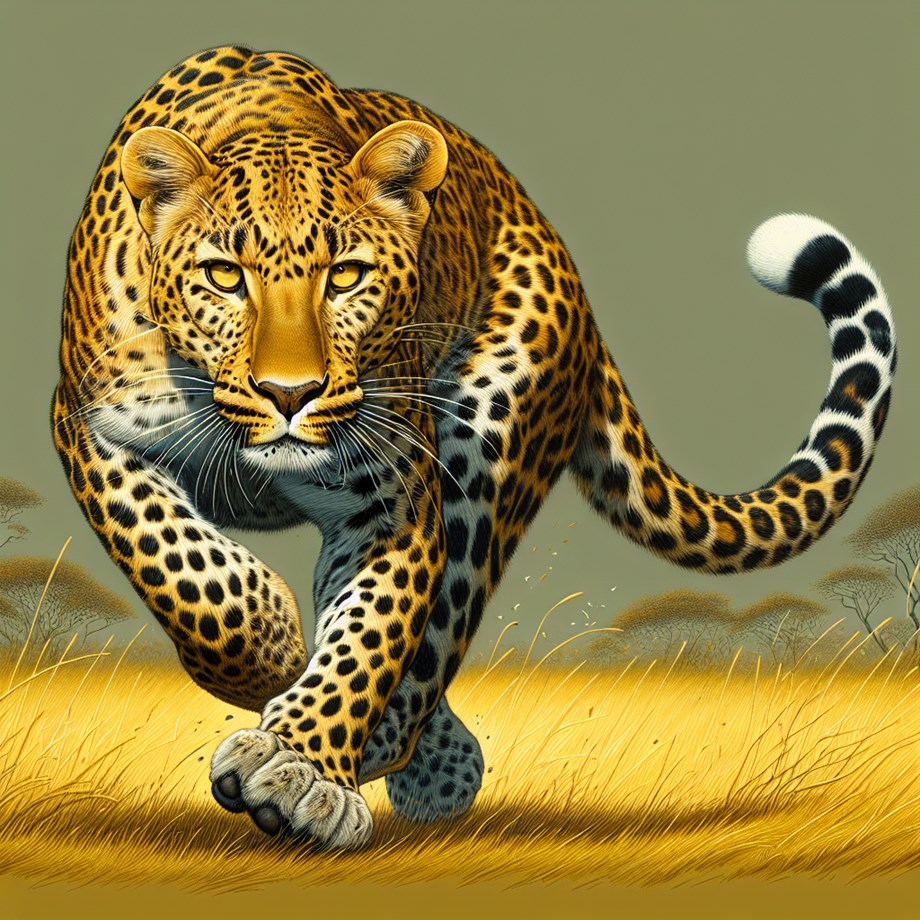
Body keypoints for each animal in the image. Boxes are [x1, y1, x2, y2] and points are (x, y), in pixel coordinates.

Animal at [53, 45, 897, 850]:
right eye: (225, 276)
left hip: (484, 449)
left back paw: (411, 761)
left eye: (347, 276)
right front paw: (270, 644)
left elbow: (372, 636)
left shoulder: (395, 502)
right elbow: (182, 571)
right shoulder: (88, 426)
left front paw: (301, 759)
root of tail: (575, 286)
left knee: (432, 645)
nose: (291, 393)